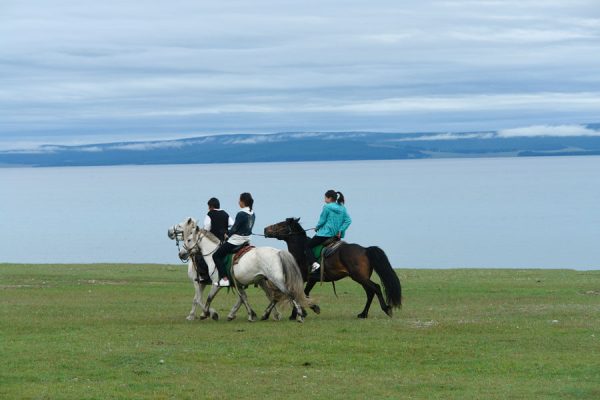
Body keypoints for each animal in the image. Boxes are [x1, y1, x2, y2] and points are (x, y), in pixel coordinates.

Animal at [169, 217, 310, 324]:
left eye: (188, 239)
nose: (181, 254)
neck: (212, 254)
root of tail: (278, 252)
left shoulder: (213, 283)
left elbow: (205, 298)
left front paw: (207, 314)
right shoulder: (238, 283)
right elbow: (243, 297)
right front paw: (250, 315)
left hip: (276, 280)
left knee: (288, 293)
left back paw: (299, 316)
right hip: (264, 280)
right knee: (273, 296)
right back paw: (268, 314)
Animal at [264, 217, 400, 318]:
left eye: (281, 225)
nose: (265, 229)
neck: (301, 250)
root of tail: (365, 249)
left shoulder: (307, 278)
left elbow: (301, 293)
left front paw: (304, 311)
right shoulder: (309, 279)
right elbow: (301, 294)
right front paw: (301, 312)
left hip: (359, 277)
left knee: (376, 288)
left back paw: (386, 309)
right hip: (361, 278)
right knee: (370, 292)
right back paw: (363, 314)